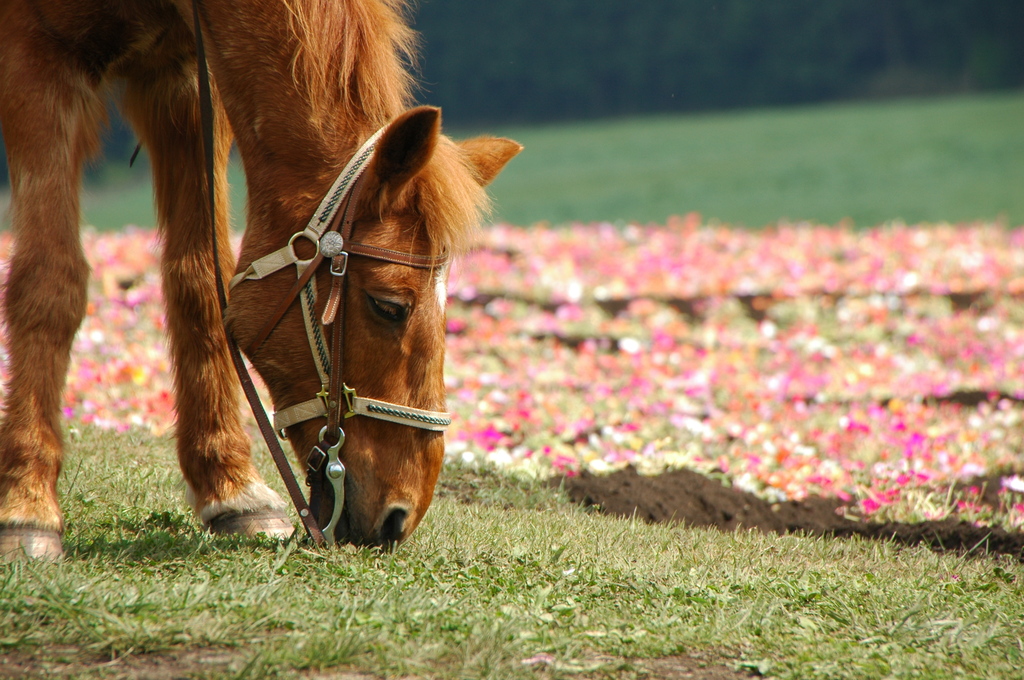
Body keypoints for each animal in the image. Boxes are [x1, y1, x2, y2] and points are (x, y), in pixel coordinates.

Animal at [0, 0, 520, 557]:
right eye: (389, 306)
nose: (400, 516)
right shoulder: (38, 56)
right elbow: (50, 281)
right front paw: (27, 502)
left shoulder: (189, 79)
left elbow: (201, 281)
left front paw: (230, 487)